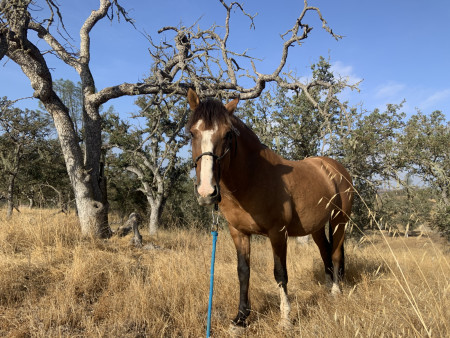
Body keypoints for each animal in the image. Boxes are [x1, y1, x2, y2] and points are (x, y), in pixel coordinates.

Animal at [187, 88, 356, 328]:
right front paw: (241, 318)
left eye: (228, 134)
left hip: (339, 221)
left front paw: (285, 318)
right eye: (192, 133)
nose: (206, 192)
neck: (252, 178)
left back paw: (335, 291)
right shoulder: (238, 233)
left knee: (335, 254)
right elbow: (243, 272)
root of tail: (334, 167)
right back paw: (326, 289)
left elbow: (280, 273)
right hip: (316, 227)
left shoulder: (278, 234)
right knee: (325, 252)